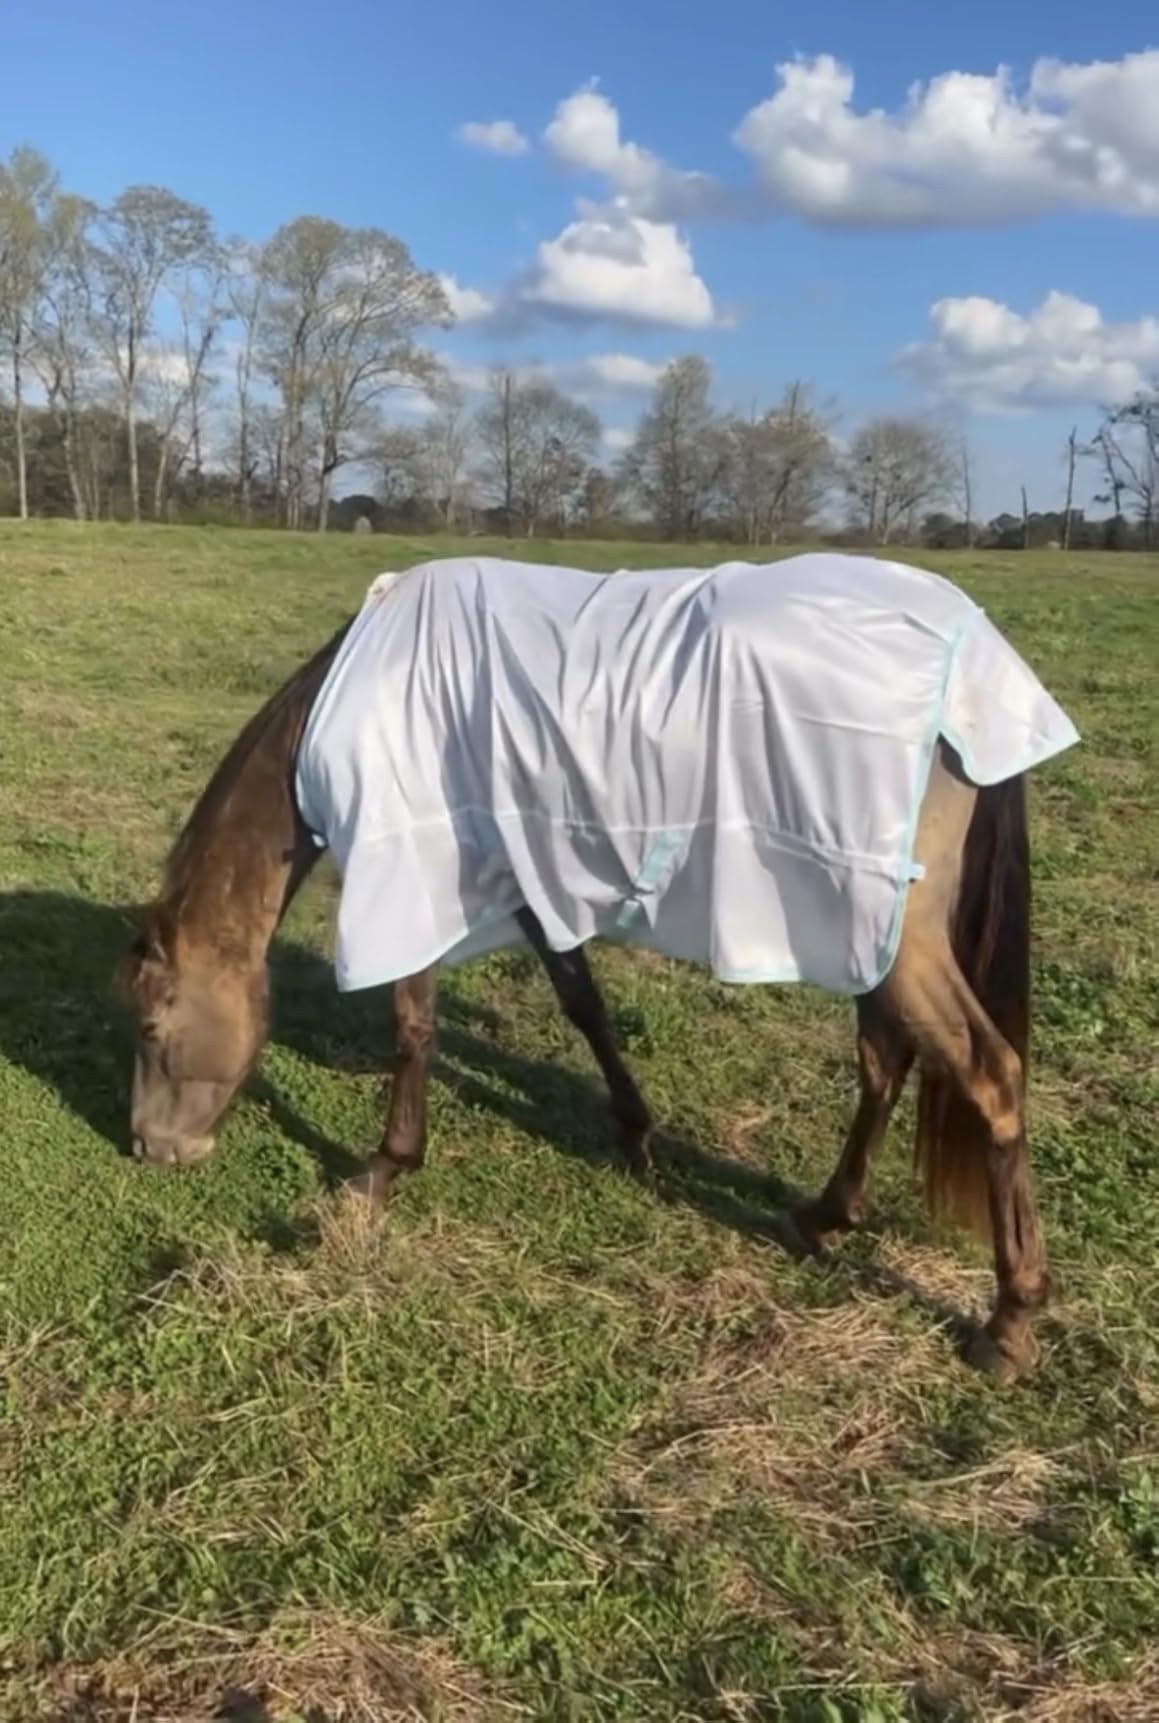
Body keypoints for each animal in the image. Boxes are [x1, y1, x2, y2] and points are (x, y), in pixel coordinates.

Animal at [118, 552, 1077, 1385]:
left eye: (152, 1022)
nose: (150, 1147)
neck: (359, 697)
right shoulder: (527, 876)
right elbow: (581, 1002)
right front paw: (635, 1134)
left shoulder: (416, 876)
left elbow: (414, 1025)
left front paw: (383, 1169)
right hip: (872, 931)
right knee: (884, 1059)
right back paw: (824, 1216)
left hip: (892, 931)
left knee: (987, 1076)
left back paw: (1007, 1320)